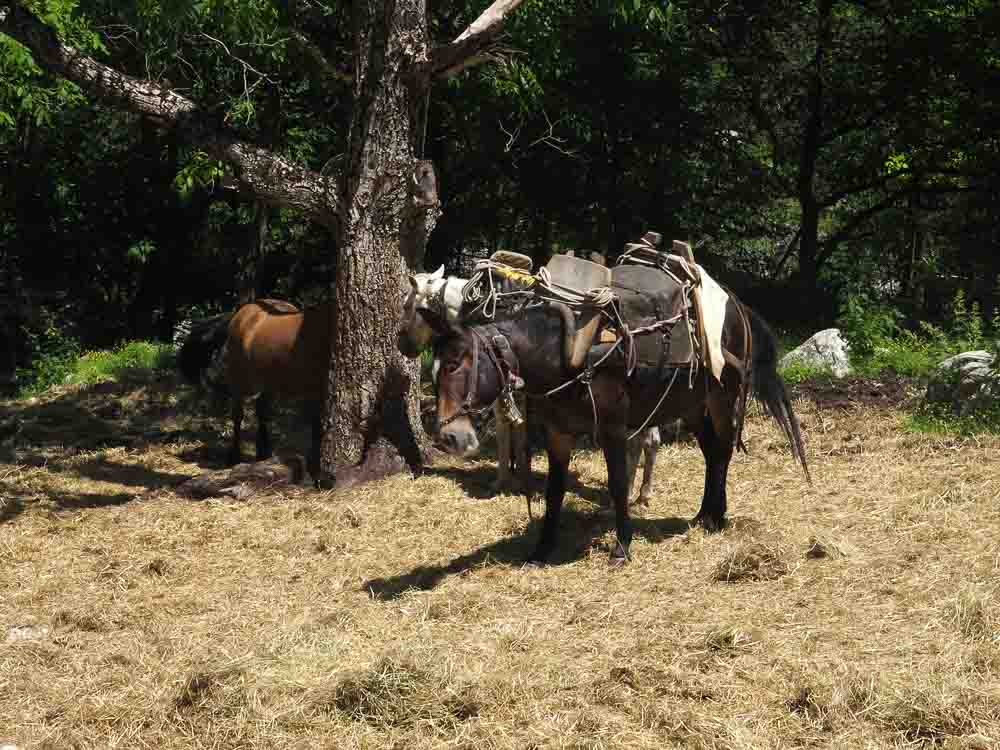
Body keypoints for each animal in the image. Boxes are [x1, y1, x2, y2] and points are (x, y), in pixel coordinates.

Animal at [180, 298, 332, 478]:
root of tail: (244, 310)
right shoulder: (314, 390)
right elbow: (317, 425)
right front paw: (315, 470)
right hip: (240, 379)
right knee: (238, 415)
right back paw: (234, 457)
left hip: (269, 381)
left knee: (262, 411)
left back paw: (263, 453)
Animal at [406, 264, 664, 506]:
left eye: (408, 305)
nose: (403, 345)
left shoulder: (506, 394)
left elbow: (508, 431)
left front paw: (506, 479)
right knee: (649, 440)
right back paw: (641, 493)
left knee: (638, 440)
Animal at [426, 294, 808, 564]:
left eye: (454, 365)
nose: (448, 437)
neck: (567, 355)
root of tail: (739, 308)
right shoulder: (558, 435)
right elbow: (554, 492)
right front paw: (542, 549)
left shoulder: (612, 430)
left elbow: (618, 483)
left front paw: (622, 545)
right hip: (692, 407)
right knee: (713, 454)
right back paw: (705, 513)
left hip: (722, 399)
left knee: (725, 452)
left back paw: (718, 516)